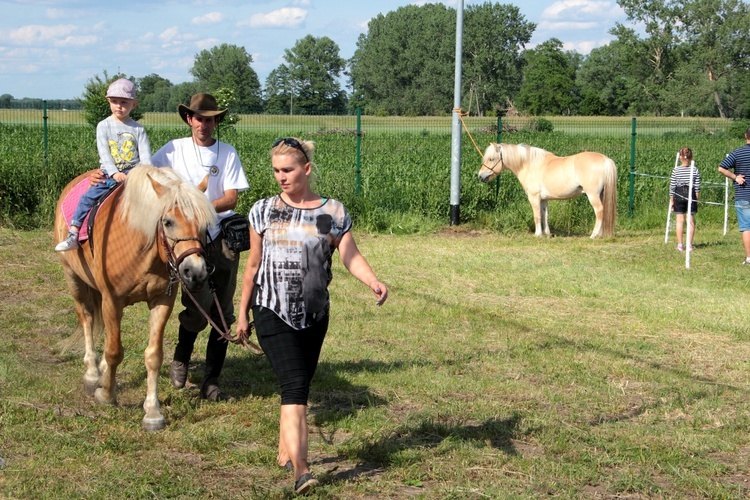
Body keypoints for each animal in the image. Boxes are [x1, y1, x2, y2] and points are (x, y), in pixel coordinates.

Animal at [52, 166, 217, 432]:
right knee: (86, 318)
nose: (196, 272)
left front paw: (152, 412)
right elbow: (114, 351)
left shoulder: (162, 301)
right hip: (73, 279)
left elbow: (153, 356)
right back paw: (92, 374)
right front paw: (106, 394)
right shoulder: (111, 300)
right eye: (168, 222)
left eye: (203, 225)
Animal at [478, 143, 620, 238]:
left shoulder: (534, 197)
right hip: (601, 194)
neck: (529, 165)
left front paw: (538, 234)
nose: (480, 176)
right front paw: (547, 234)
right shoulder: (544, 199)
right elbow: (544, 215)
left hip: (592, 195)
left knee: (599, 211)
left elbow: (536, 215)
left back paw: (593, 235)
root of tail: (606, 160)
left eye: (491, 159)